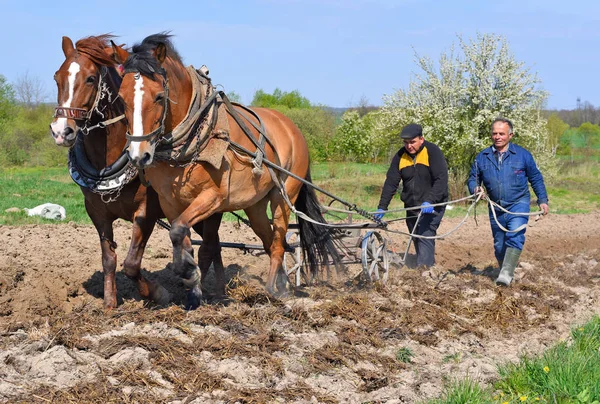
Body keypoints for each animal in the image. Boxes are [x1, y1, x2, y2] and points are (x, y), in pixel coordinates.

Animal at [49, 34, 223, 308]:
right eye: (57, 77)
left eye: (90, 78)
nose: (61, 131)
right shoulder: (96, 212)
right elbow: (109, 259)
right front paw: (109, 302)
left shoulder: (146, 211)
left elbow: (131, 263)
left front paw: (158, 293)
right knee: (212, 246)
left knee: (210, 246)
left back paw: (206, 290)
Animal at [111, 34, 338, 308]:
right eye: (121, 98)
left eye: (158, 96)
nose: (138, 155)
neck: (195, 133)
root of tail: (291, 127)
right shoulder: (170, 201)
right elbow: (182, 236)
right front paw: (192, 287)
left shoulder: (213, 197)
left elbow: (180, 232)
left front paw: (187, 271)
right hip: (255, 206)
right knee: (272, 240)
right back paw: (283, 286)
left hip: (284, 197)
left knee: (277, 243)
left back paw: (271, 290)